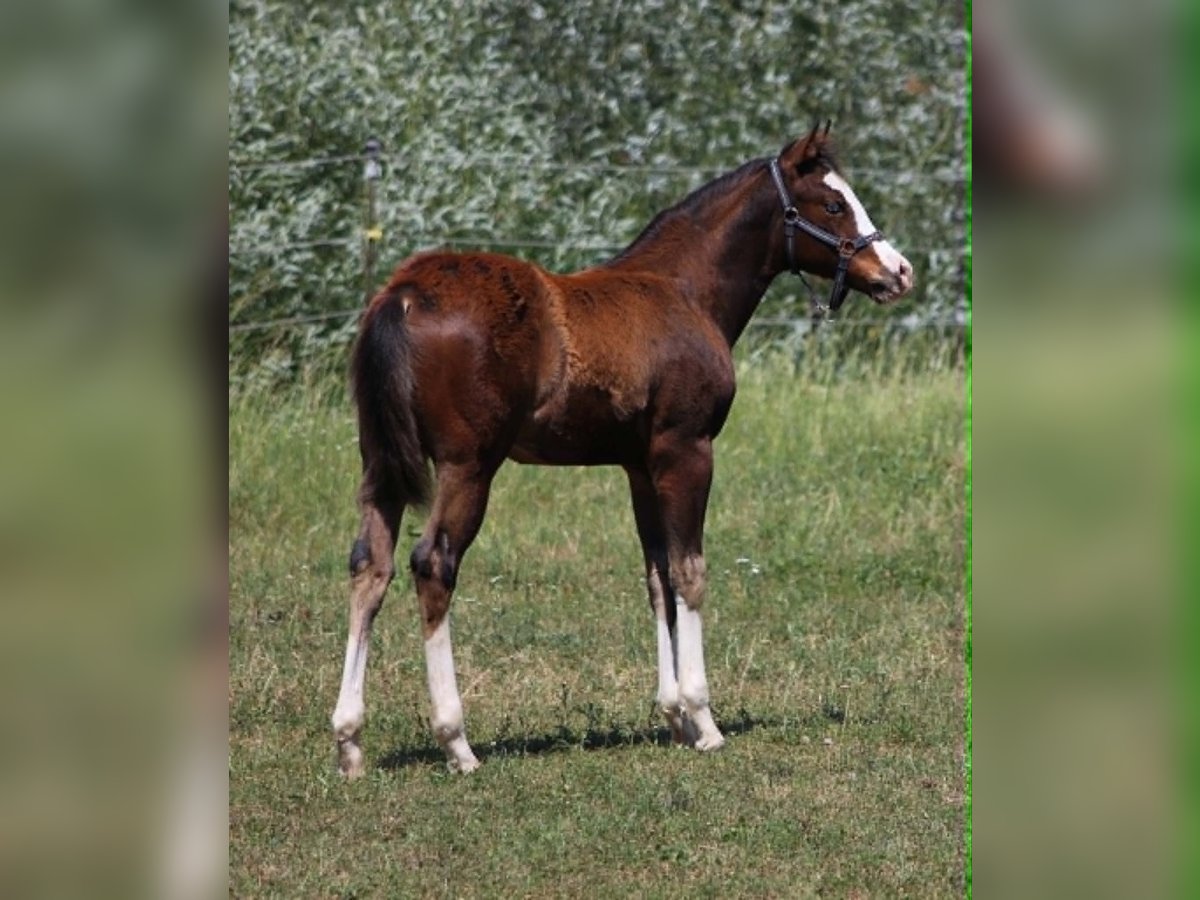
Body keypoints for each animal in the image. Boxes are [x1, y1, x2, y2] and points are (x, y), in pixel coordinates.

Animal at [330, 123, 914, 775]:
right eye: (833, 204)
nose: (899, 271)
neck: (684, 290)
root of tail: (404, 294)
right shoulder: (687, 450)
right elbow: (689, 571)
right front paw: (703, 719)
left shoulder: (640, 465)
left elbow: (656, 575)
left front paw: (673, 717)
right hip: (469, 466)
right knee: (433, 563)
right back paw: (457, 743)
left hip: (380, 464)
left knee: (370, 565)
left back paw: (350, 740)